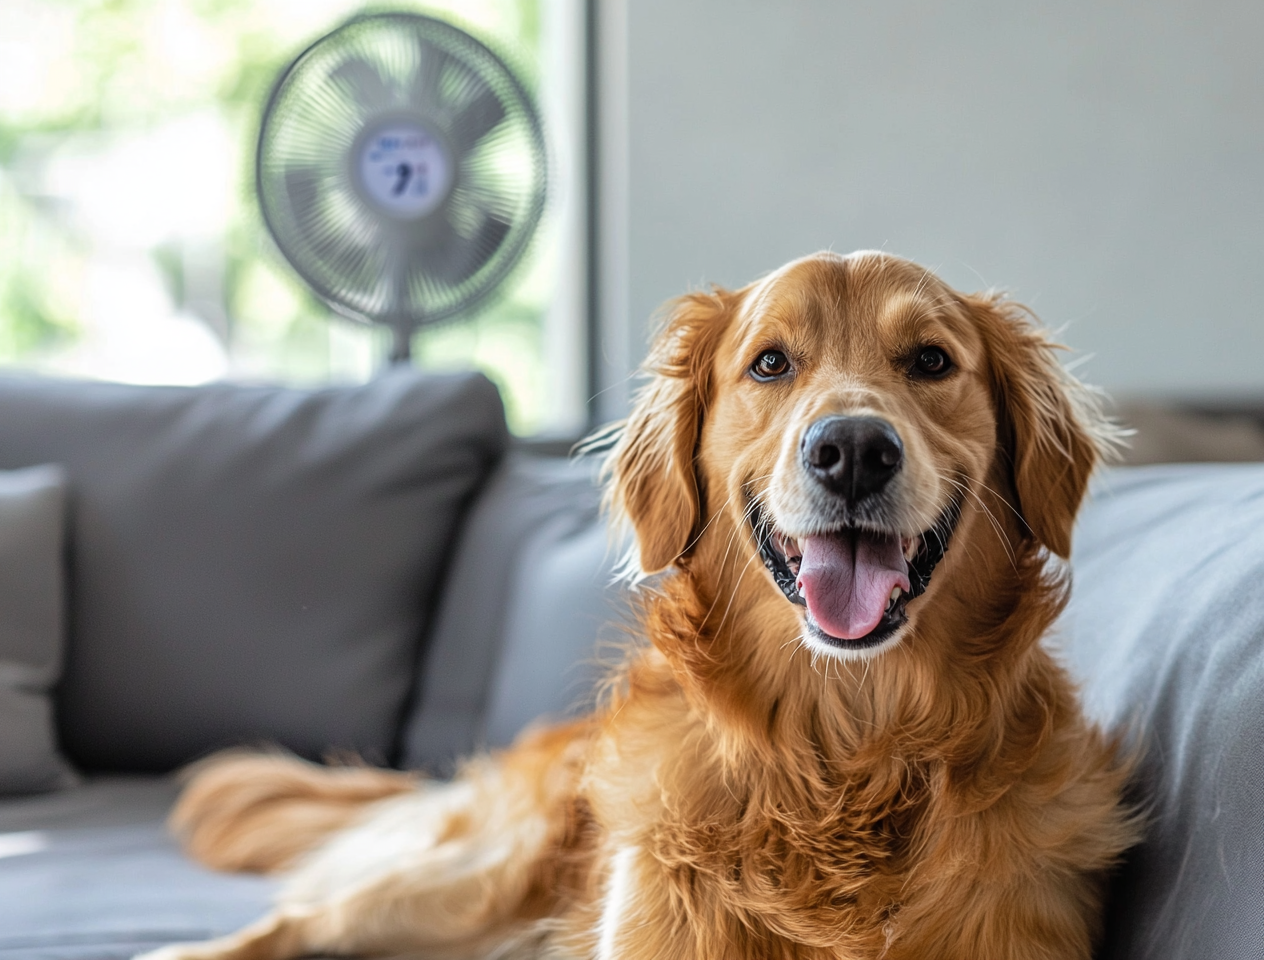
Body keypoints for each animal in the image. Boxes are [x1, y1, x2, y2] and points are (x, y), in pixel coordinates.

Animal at [143, 251, 1142, 956]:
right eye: (770, 364)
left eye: (932, 361)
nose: (853, 449)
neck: (843, 756)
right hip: (480, 876)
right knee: (296, 924)